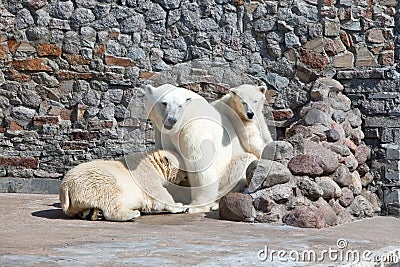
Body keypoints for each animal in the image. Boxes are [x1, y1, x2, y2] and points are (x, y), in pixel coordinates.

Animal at [59, 151, 188, 222]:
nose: (188, 176)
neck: (153, 163)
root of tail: (65, 186)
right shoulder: (145, 174)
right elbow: (157, 193)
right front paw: (181, 206)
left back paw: (93, 213)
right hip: (98, 181)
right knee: (111, 198)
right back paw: (132, 214)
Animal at [145, 85, 250, 213]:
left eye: (180, 106)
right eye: (164, 103)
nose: (172, 120)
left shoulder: (193, 128)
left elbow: (199, 164)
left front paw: (193, 207)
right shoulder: (161, 133)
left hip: (230, 168)